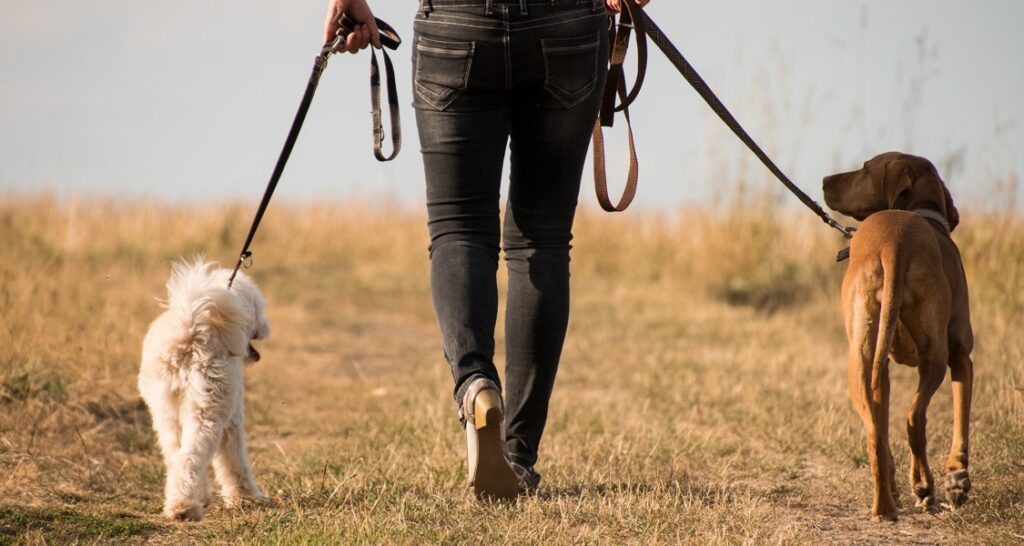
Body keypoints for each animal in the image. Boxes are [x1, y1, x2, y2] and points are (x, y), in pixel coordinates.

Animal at [142, 260, 274, 520]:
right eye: (257, 308)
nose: (266, 326)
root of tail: (190, 328)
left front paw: (204, 494)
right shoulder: (232, 421)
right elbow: (235, 462)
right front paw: (246, 497)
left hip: (164, 413)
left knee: (175, 456)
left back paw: (180, 502)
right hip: (207, 411)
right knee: (189, 457)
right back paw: (185, 508)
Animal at [823, 152, 974, 520]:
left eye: (865, 168)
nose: (824, 180)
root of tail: (894, 242)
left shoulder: (884, 368)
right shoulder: (961, 354)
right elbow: (961, 422)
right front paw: (957, 479)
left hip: (860, 360)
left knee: (875, 433)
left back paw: (885, 506)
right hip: (934, 357)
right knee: (914, 419)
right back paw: (925, 488)